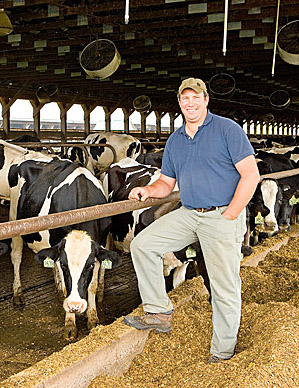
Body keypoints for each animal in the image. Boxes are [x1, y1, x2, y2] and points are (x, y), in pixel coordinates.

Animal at [0, 142, 122, 340]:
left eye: (89, 266)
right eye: (66, 265)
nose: (75, 306)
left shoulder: (99, 247)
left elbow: (93, 286)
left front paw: (93, 319)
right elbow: (66, 286)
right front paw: (70, 324)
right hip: (14, 219)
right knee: (16, 256)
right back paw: (18, 293)